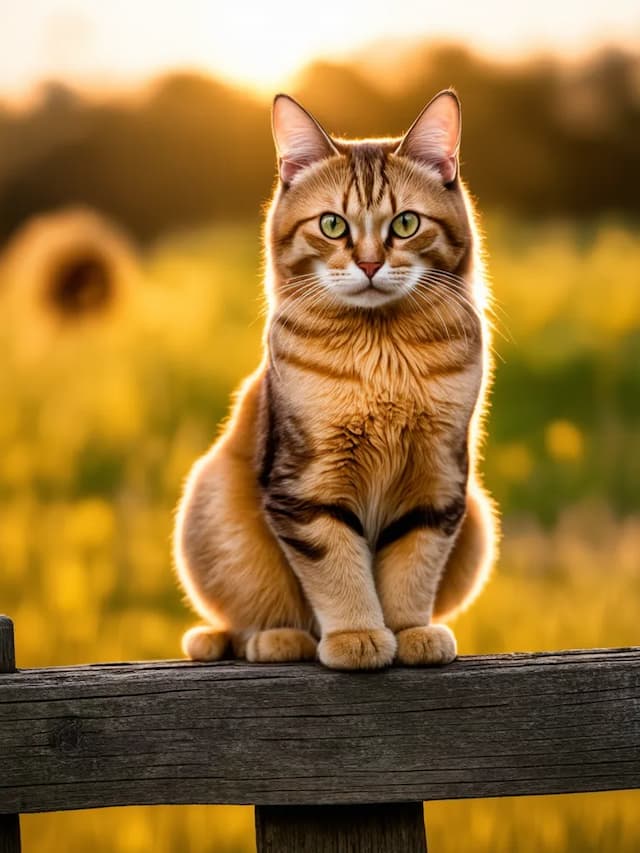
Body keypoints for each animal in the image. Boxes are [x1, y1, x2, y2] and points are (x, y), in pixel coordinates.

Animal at [172, 90, 498, 668]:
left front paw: (410, 632)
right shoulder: (307, 489)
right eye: (332, 225)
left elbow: (411, 569)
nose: (368, 264)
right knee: (242, 624)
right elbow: (339, 571)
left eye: (406, 224)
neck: (382, 356)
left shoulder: (436, 483)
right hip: (212, 504)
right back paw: (274, 639)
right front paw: (357, 636)